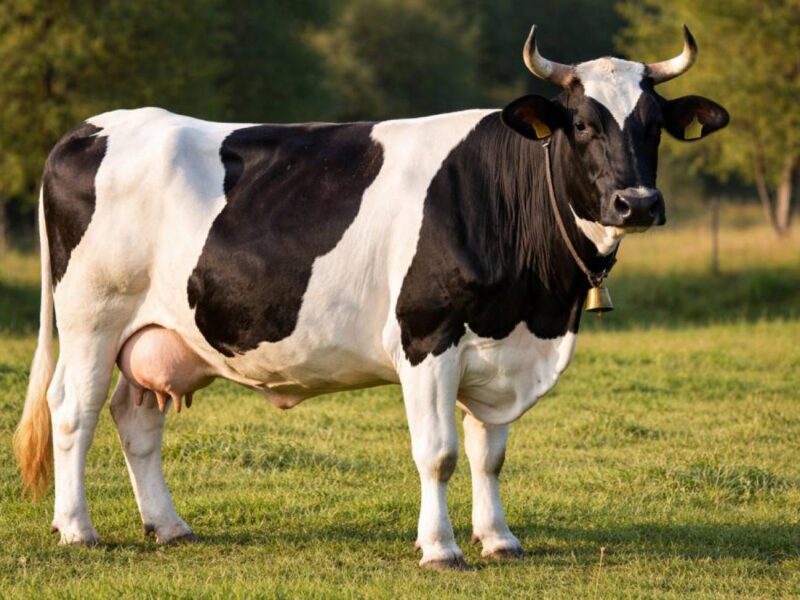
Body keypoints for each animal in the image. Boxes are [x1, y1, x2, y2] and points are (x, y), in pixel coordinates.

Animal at [14, 25, 728, 569]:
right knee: (72, 410)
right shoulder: (426, 337)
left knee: (135, 419)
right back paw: (77, 528)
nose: (637, 203)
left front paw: (499, 539)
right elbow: (438, 453)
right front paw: (440, 548)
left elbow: (489, 453)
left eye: (655, 125)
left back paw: (168, 525)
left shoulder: (500, 346)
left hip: (158, 333)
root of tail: (93, 127)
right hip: (92, 317)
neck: (539, 306)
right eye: (580, 123)